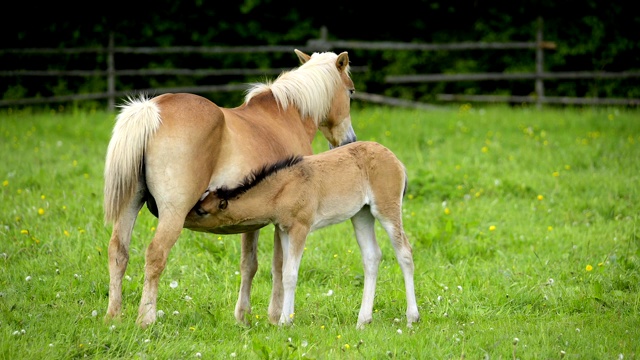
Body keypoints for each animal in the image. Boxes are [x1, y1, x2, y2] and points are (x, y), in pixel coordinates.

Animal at [102, 49, 358, 328]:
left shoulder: (251, 218)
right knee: (155, 255)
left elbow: (249, 264)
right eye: (351, 91)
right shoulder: (283, 221)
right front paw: (275, 316)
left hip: (129, 205)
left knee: (118, 252)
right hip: (173, 215)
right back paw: (146, 318)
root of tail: (151, 109)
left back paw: (113, 315)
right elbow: (279, 266)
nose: (350, 140)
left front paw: (243, 316)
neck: (285, 118)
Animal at [184, 141, 420, 330]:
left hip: (386, 208)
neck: (282, 189)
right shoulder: (284, 229)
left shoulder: (300, 227)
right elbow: (283, 270)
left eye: (202, 211)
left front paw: (283, 322)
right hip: (361, 214)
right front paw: (286, 318)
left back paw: (412, 318)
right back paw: (363, 321)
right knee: (372, 256)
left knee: (404, 252)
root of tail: (396, 161)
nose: (185, 216)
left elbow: (290, 274)